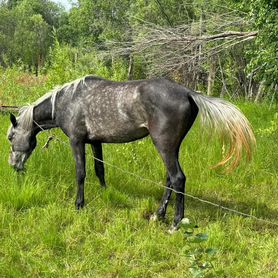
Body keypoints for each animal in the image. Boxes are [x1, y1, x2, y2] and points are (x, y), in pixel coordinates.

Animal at [7, 76, 254, 230]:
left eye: (10, 137)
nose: (14, 166)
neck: (68, 101)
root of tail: (187, 92)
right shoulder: (95, 142)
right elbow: (99, 169)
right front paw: (105, 193)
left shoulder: (76, 141)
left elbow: (80, 173)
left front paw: (79, 205)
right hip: (172, 147)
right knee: (170, 179)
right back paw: (158, 215)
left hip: (163, 145)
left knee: (178, 178)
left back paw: (175, 223)